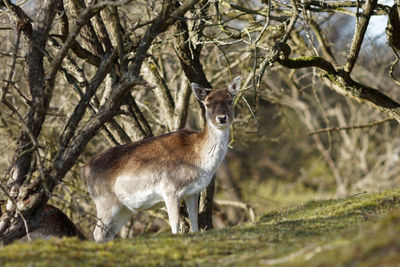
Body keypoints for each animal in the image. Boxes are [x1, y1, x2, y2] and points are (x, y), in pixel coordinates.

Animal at [83, 76, 241, 243]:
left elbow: (195, 222)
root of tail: (84, 169)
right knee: (97, 232)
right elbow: (175, 223)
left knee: (108, 233)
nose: (222, 118)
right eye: (208, 104)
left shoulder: (193, 192)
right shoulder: (170, 188)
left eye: (230, 100)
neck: (199, 160)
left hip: (123, 208)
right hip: (104, 200)